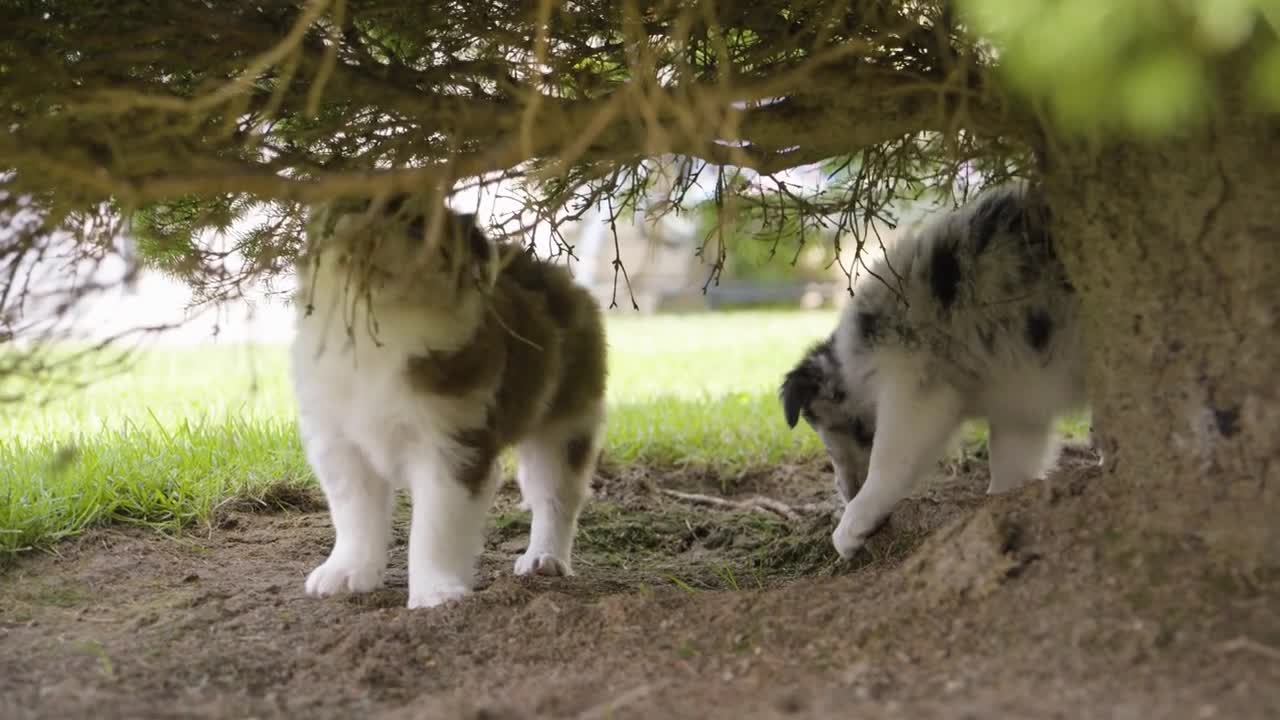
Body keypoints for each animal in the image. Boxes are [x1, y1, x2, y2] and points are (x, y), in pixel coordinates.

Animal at [293, 192, 606, 604]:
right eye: (353, 206)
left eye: (417, 226)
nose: (365, 231)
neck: (377, 330)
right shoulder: (338, 443)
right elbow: (354, 513)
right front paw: (346, 572)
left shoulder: (452, 444)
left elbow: (435, 526)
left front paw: (435, 594)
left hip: (565, 422)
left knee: (555, 496)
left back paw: (544, 558)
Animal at [778, 181, 1090, 558]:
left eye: (860, 432)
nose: (850, 493)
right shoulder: (1019, 400)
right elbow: (1010, 458)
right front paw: (1000, 504)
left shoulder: (914, 387)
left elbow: (889, 458)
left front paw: (852, 524)